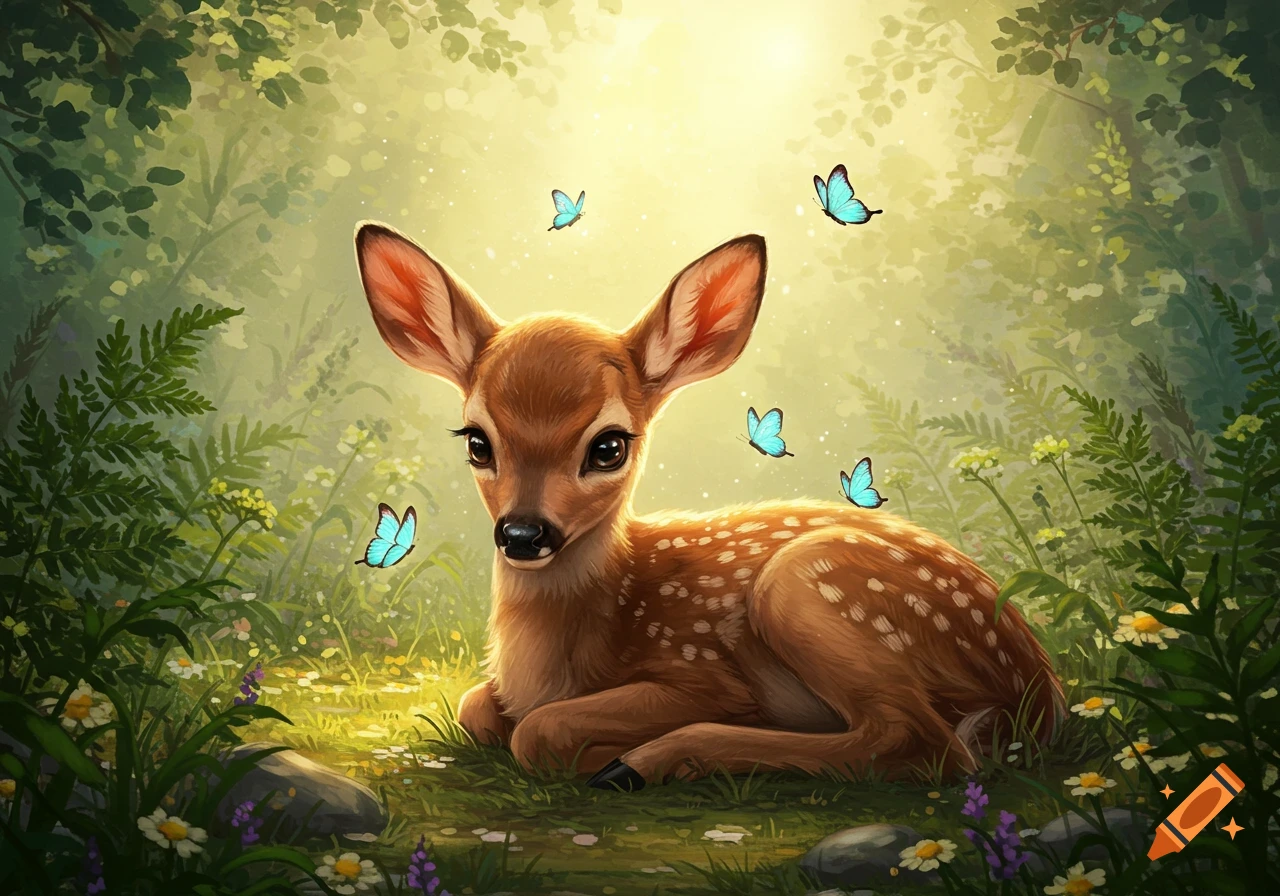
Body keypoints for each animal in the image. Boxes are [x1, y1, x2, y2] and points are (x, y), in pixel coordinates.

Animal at [354, 223, 1065, 791]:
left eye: (608, 446)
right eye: (477, 441)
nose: (524, 534)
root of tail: (1039, 689)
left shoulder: (702, 674)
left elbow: (540, 732)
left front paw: (597, 752)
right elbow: (477, 706)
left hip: (805, 587)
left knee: (921, 744)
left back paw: (640, 764)